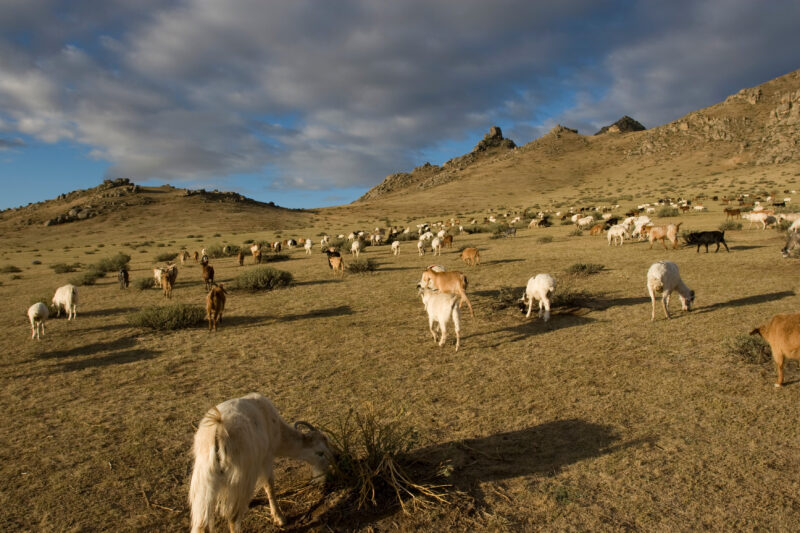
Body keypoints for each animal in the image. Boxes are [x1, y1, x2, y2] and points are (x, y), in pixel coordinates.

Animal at [189, 393, 330, 531]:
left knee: (202, 524)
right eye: (320, 453)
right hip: (240, 477)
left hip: (203, 481)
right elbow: (269, 485)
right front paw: (279, 518)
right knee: (233, 519)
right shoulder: (266, 458)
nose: (324, 477)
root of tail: (218, 430)